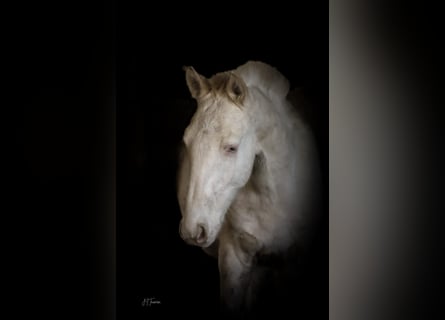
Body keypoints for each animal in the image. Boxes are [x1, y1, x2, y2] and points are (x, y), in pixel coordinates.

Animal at [176, 60, 320, 316]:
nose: (193, 229)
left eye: (232, 148)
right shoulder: (235, 258)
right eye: (186, 142)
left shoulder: (291, 265)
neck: (272, 199)